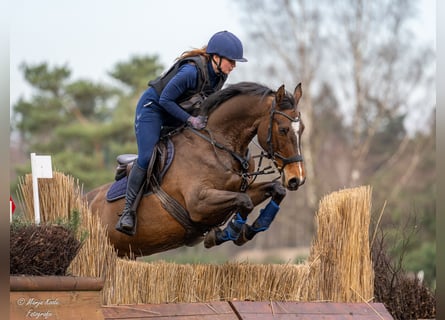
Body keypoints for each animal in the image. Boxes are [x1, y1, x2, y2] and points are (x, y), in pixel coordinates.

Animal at [84, 82, 304, 258]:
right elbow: (245, 202)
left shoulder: (240, 189)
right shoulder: (198, 202)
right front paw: (228, 233)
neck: (218, 146)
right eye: (283, 130)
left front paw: (251, 229)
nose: (297, 179)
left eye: (301, 130)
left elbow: (276, 190)